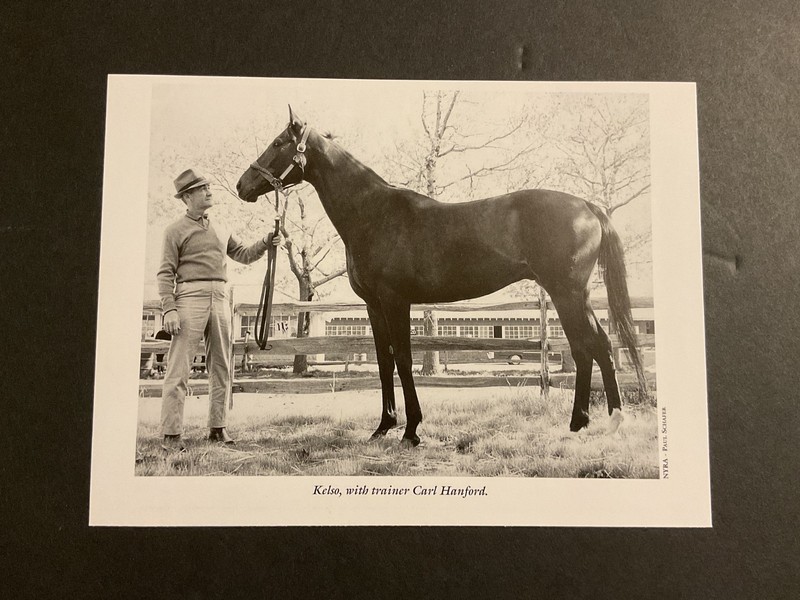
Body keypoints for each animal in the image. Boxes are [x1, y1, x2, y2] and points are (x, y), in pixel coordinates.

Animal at [236, 107, 646, 448]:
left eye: (277, 143)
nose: (243, 185)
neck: (373, 213)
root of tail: (588, 206)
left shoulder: (396, 301)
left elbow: (403, 359)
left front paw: (411, 431)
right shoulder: (373, 305)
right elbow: (383, 361)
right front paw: (383, 427)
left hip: (566, 293)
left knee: (590, 347)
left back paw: (602, 421)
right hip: (576, 296)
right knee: (595, 347)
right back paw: (590, 422)